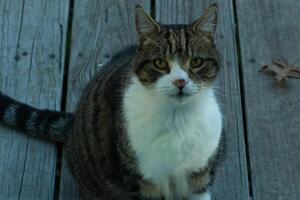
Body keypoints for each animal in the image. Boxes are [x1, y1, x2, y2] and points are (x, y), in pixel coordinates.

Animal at [0, 3, 223, 200]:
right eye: (160, 63)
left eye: (197, 62)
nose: (180, 82)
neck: (177, 117)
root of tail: (72, 126)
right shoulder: (140, 178)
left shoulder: (200, 174)